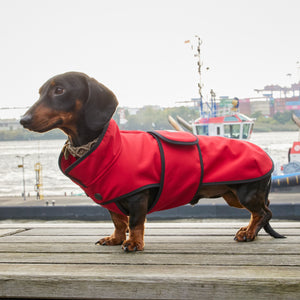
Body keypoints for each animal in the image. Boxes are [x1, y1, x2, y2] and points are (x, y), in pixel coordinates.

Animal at [20, 71, 284, 251]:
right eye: (40, 92)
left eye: (59, 90)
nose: (23, 120)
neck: (101, 146)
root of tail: (266, 157)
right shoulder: (111, 198)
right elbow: (118, 221)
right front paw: (115, 239)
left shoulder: (138, 196)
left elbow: (135, 222)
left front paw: (133, 243)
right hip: (233, 196)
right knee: (261, 212)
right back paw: (248, 230)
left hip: (246, 194)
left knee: (264, 213)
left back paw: (248, 233)